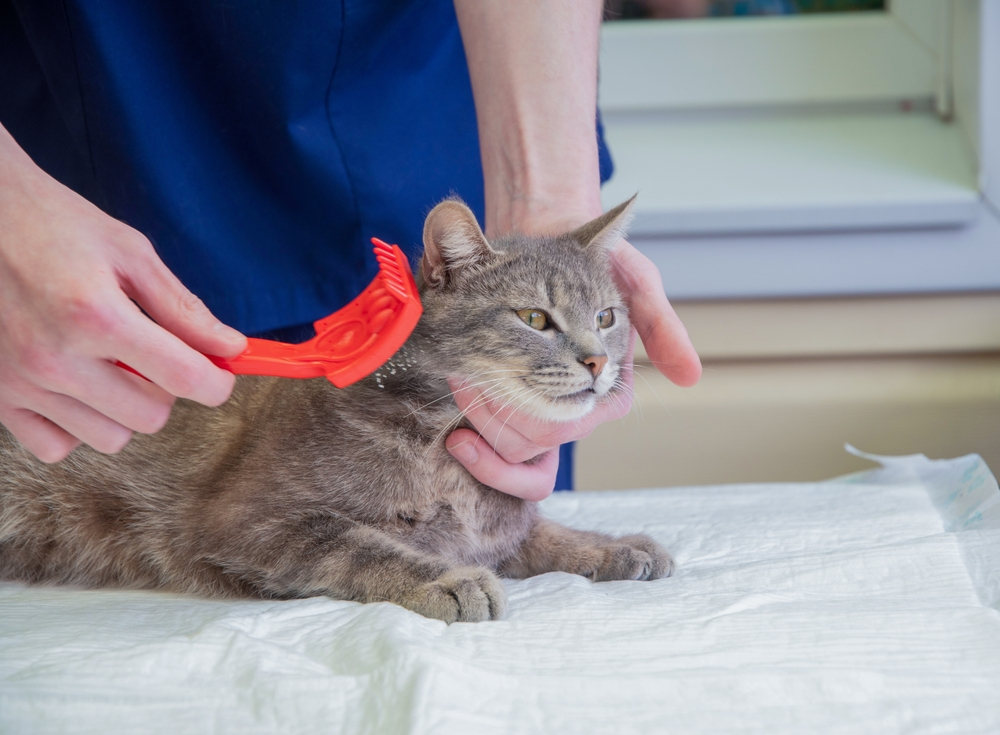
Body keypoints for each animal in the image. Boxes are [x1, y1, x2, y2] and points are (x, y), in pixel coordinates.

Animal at [0, 198, 676, 624]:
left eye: (607, 317)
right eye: (534, 317)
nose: (598, 361)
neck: (446, 449)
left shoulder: (496, 530)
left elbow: (543, 534)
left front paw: (615, 547)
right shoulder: (250, 521)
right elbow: (358, 544)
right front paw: (445, 580)